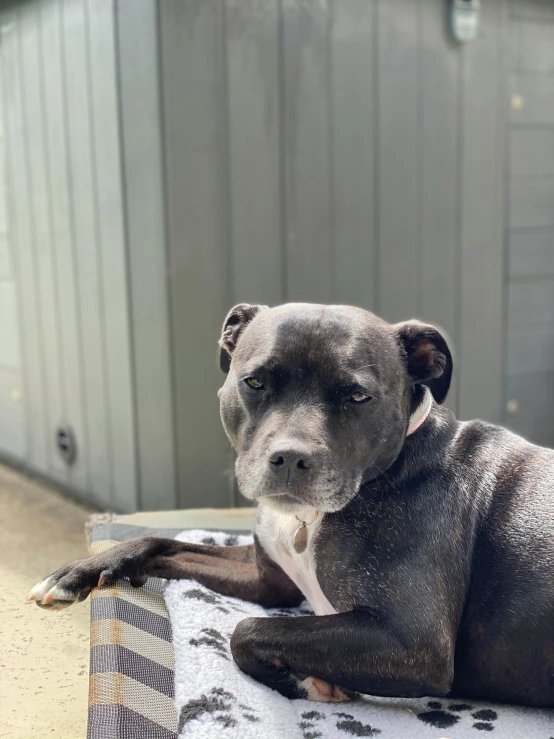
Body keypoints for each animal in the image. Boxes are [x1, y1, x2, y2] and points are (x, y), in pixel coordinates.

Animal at [29, 304, 552, 708]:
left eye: (357, 395)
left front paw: (309, 680)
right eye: (255, 382)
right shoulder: (267, 580)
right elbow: (160, 541)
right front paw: (79, 571)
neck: (308, 518)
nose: (291, 457)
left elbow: (247, 630)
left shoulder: (413, 643)